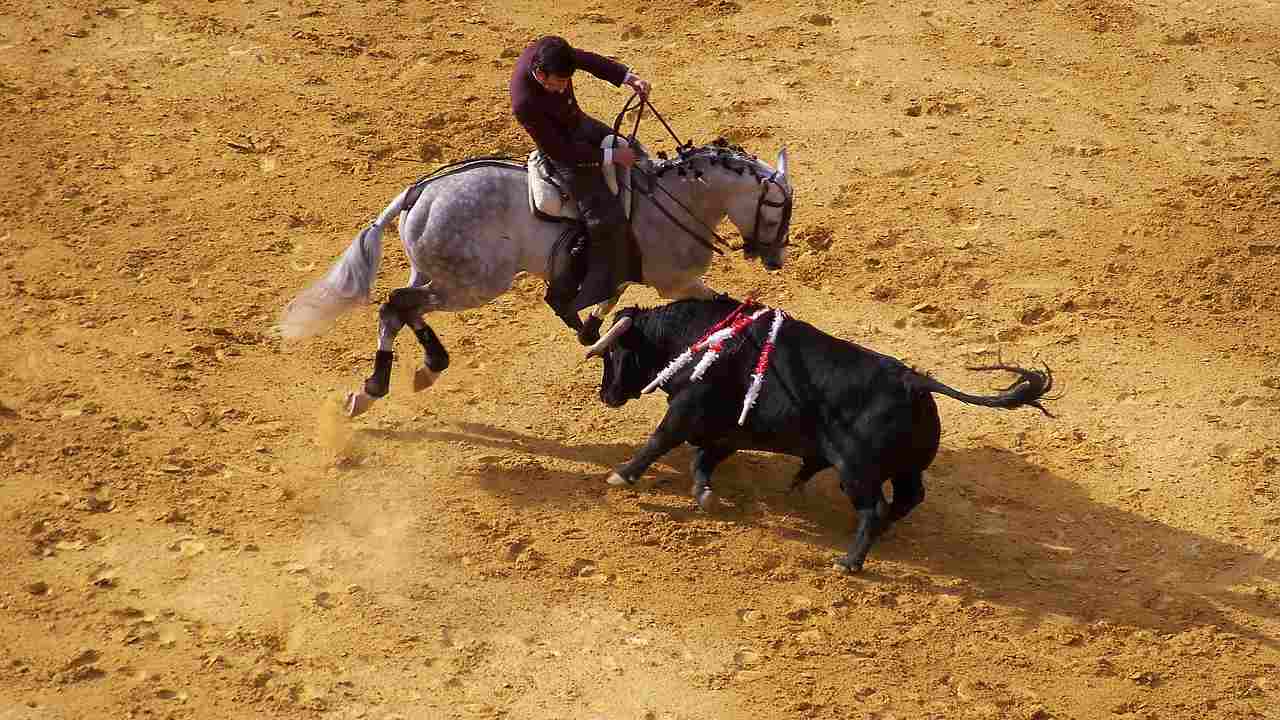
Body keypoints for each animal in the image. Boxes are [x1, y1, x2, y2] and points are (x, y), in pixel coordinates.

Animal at [282, 139, 788, 415]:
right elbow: (719, 303)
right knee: (397, 305)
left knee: (402, 307)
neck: (676, 198)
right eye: (776, 210)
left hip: (436, 273)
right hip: (475, 284)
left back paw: (410, 374)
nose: (775, 259)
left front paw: (588, 329)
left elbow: (607, 301)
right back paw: (389, 382)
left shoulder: (625, 272)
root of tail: (417, 193)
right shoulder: (676, 283)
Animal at [586, 297, 1054, 571]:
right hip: (905, 469)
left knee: (874, 508)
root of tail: (914, 382)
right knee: (907, 498)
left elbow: (661, 440)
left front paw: (622, 474)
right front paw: (704, 494)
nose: (605, 394)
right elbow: (705, 459)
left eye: (614, 353)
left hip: (856, 471)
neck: (698, 337)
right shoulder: (730, 429)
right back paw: (876, 534)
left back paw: (849, 562)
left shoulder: (687, 410)